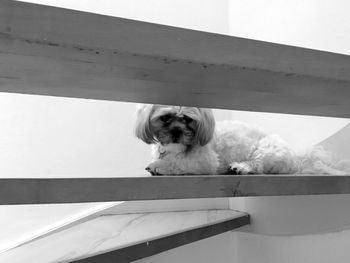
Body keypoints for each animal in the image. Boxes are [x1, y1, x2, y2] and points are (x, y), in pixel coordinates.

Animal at [135, 104, 346, 176]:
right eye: (165, 118)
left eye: (187, 119)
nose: (176, 131)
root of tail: (297, 159)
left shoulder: (205, 162)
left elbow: (178, 163)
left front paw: (158, 166)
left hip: (266, 149)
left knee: (258, 165)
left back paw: (241, 167)